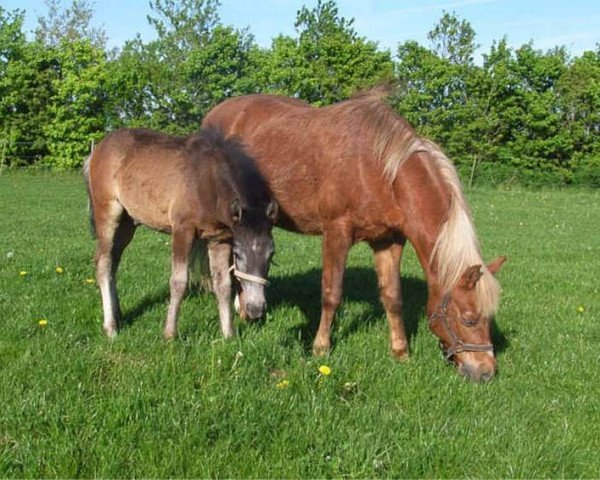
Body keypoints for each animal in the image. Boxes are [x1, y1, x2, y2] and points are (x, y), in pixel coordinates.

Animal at [84, 125, 278, 340]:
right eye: (238, 255)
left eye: (271, 255)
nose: (256, 309)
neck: (207, 182)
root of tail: (95, 152)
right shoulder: (182, 231)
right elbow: (178, 282)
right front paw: (170, 333)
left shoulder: (219, 238)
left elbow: (223, 284)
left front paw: (228, 334)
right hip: (108, 215)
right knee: (103, 263)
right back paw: (110, 327)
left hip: (127, 224)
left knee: (114, 262)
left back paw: (118, 314)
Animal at [205, 92, 506, 380]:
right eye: (468, 319)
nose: (485, 372)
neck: (380, 170)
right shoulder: (336, 233)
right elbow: (331, 293)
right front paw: (320, 347)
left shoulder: (389, 241)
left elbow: (393, 297)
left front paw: (400, 352)